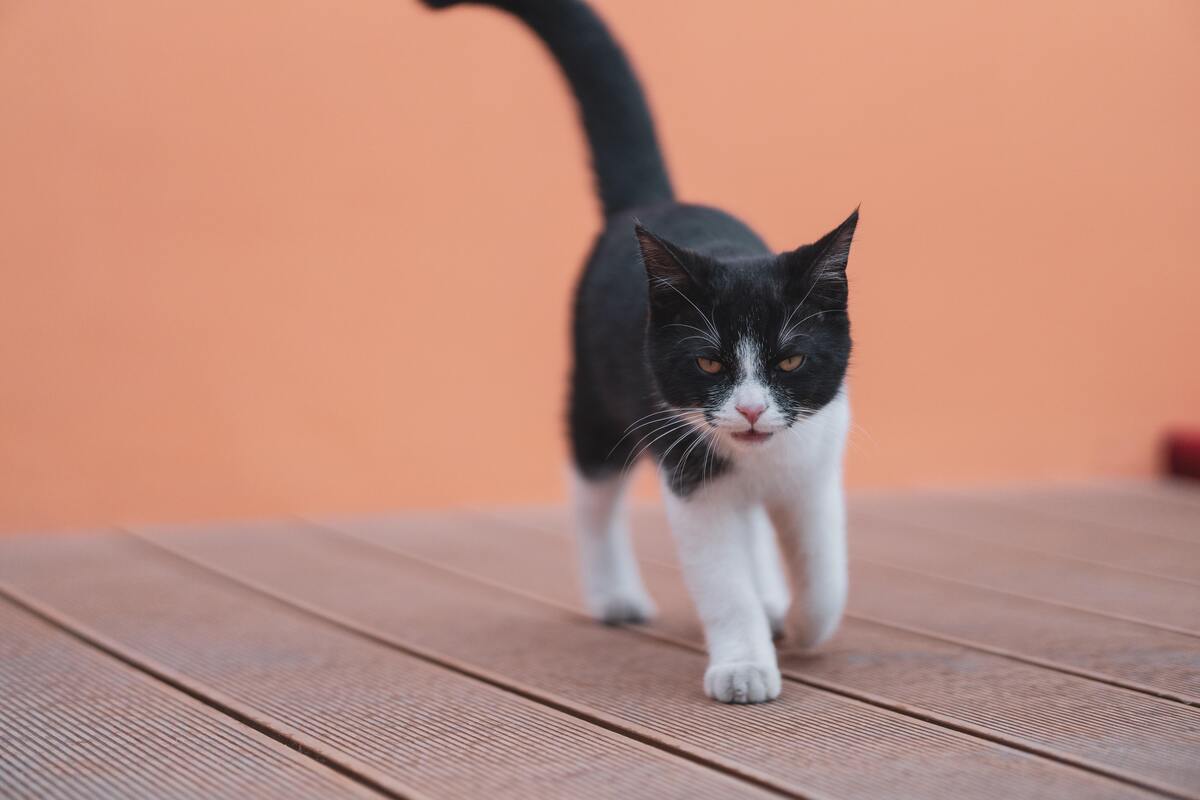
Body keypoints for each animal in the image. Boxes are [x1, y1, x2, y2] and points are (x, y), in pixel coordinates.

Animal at [420, 0, 854, 705]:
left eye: (790, 361)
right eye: (708, 362)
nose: (751, 410)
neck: (758, 458)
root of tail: (653, 201)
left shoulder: (815, 466)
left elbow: (824, 575)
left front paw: (797, 619)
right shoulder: (691, 474)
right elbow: (721, 578)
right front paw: (743, 666)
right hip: (594, 401)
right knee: (591, 496)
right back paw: (615, 596)